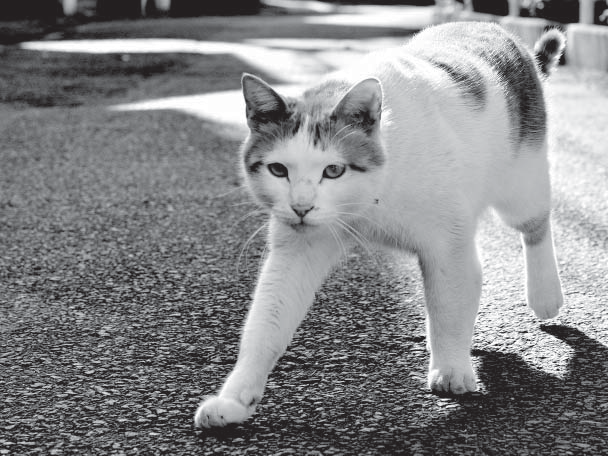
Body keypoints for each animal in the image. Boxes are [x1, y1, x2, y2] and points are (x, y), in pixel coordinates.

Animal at [194, 21, 564, 428]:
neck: (368, 199)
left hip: (520, 186)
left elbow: (450, 306)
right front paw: (234, 400)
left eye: (333, 170)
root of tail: (492, 27)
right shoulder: (297, 250)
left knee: (536, 226)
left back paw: (545, 294)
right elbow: (266, 323)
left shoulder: (447, 246)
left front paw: (452, 369)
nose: (301, 207)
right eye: (278, 170)